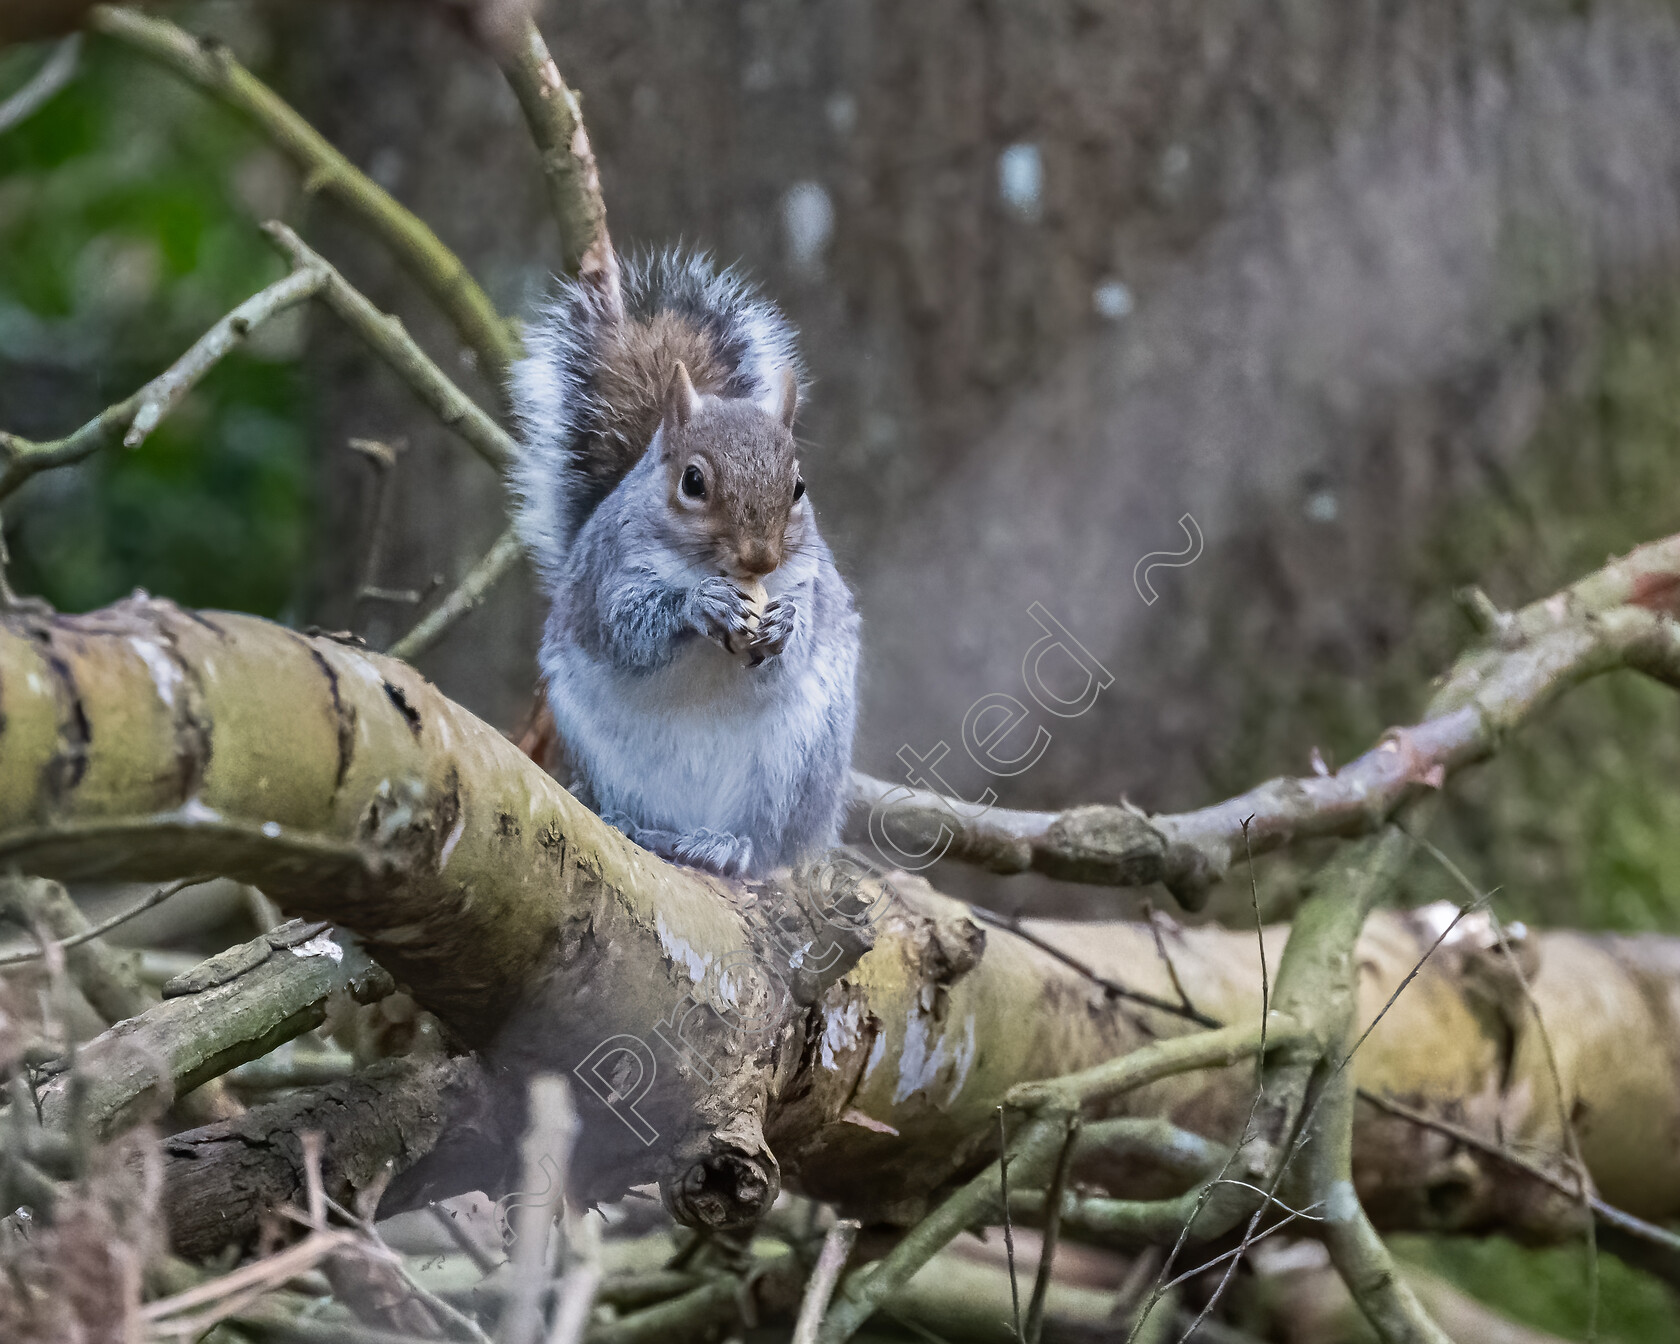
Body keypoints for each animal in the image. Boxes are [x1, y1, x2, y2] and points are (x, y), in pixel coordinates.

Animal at [507, 255, 853, 880]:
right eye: (692, 481)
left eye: (798, 487)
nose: (760, 557)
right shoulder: (611, 575)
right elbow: (628, 632)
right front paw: (700, 605)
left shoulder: (808, 584)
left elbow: (791, 649)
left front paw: (784, 625)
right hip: (602, 754)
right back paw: (633, 825)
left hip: (794, 767)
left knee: (767, 844)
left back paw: (729, 846)